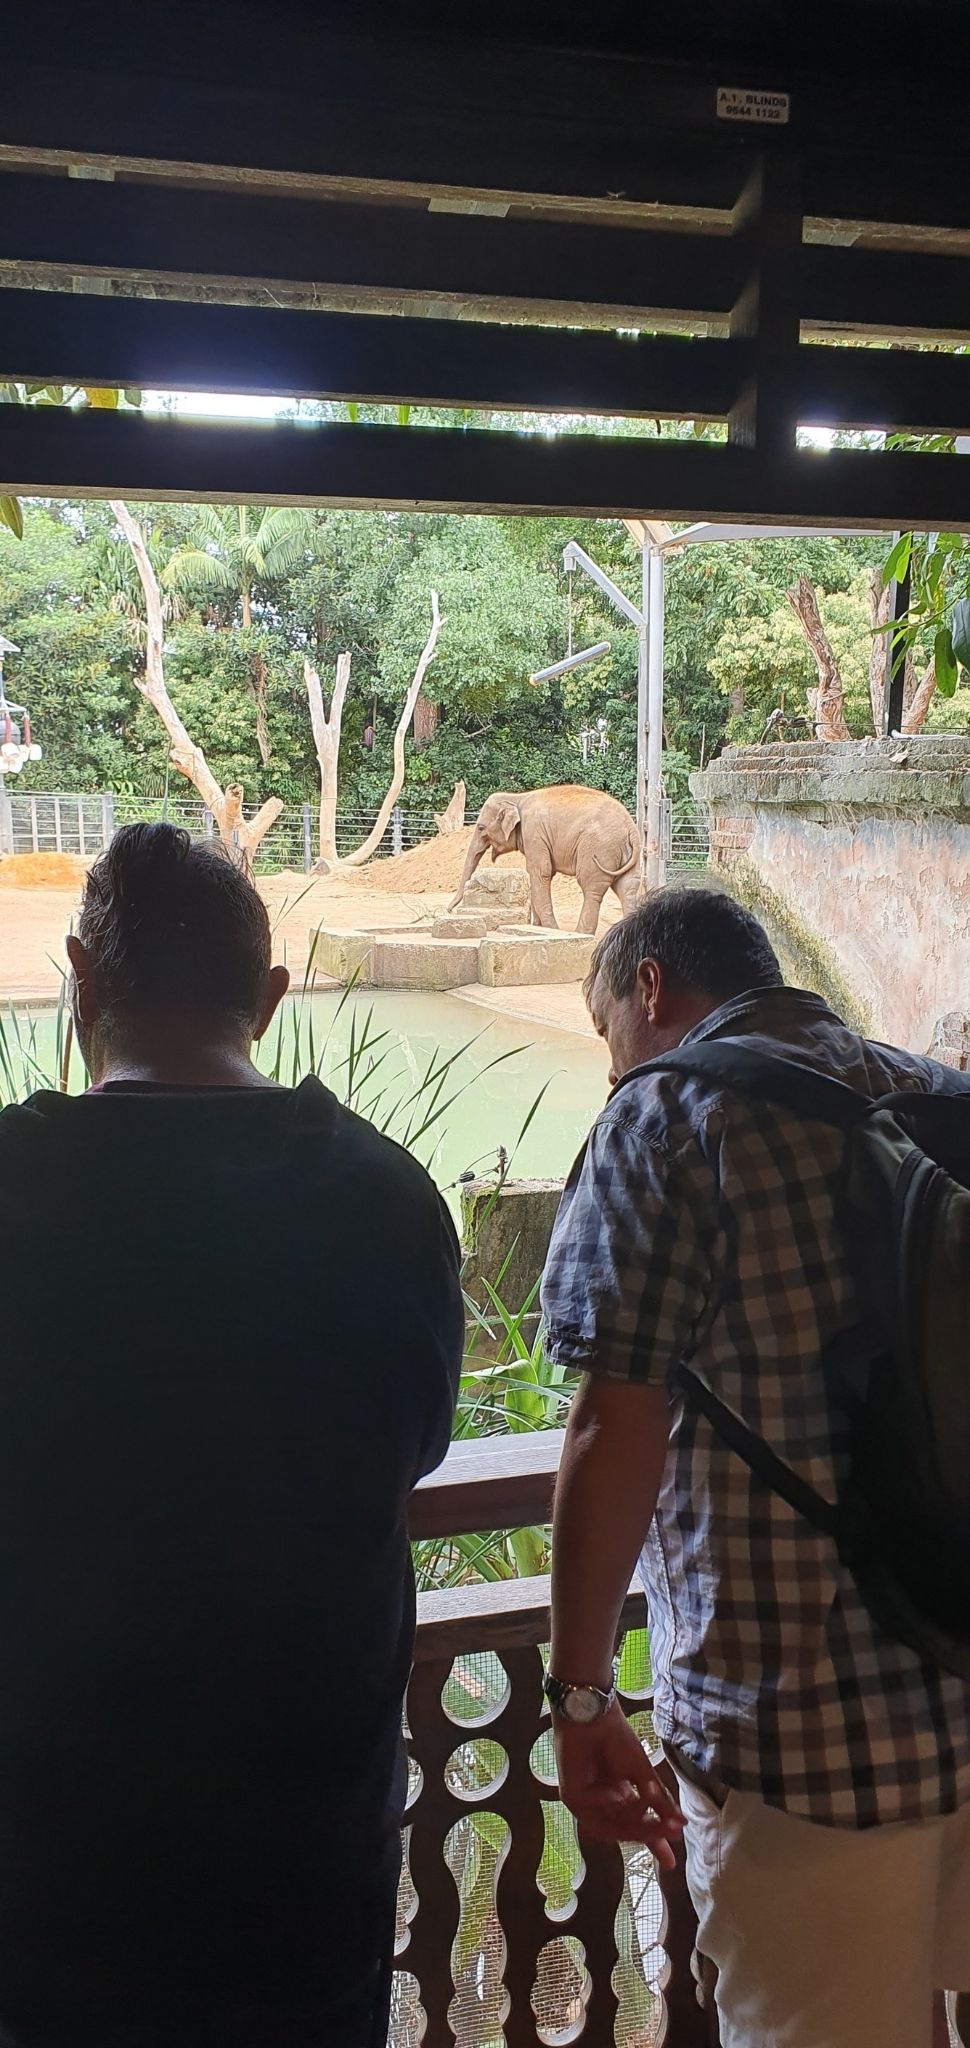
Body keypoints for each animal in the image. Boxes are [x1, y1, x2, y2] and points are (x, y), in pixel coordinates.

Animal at [448, 782, 642, 937]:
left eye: (481, 828)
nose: (449, 911)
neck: (516, 797)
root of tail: (631, 828)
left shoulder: (534, 833)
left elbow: (541, 872)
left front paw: (551, 929)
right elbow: (538, 874)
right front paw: (537, 928)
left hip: (597, 848)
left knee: (591, 888)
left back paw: (580, 934)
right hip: (626, 854)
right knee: (628, 888)